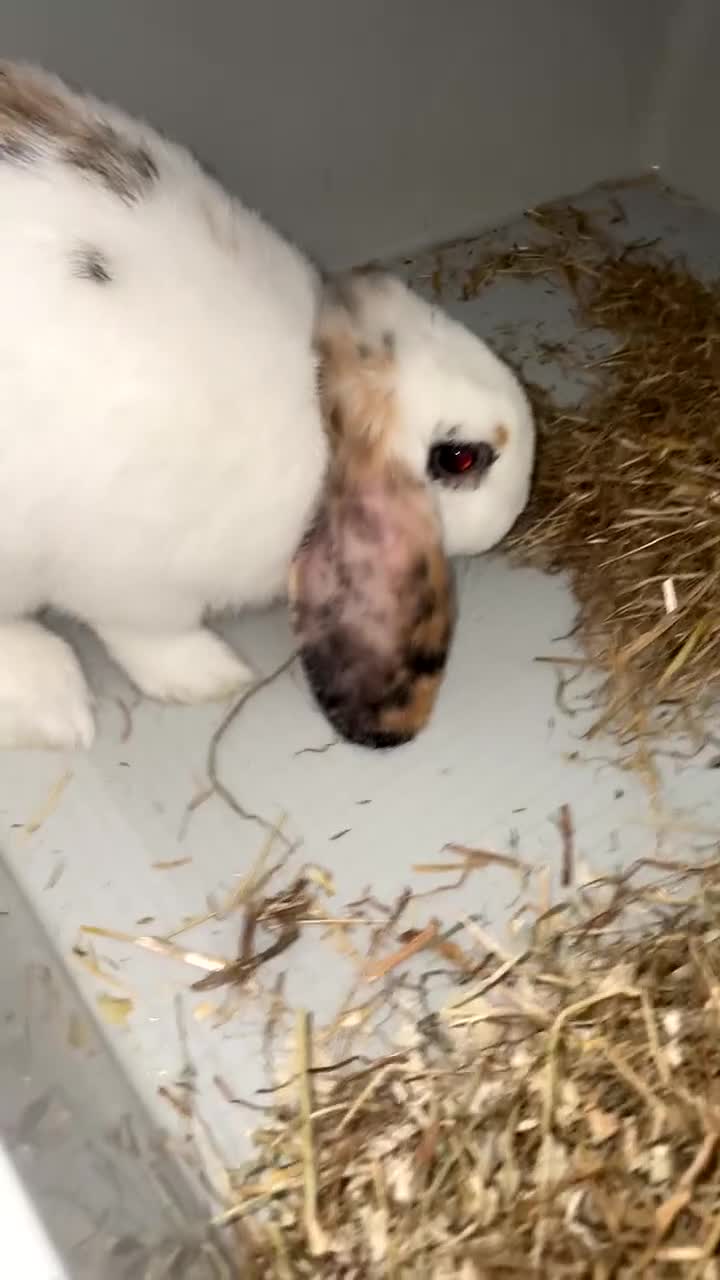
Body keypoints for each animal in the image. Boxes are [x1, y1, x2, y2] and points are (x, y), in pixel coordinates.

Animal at [0, 61, 535, 751]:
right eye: (461, 458)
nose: (512, 515)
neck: (321, 410)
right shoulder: (130, 580)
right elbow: (151, 635)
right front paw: (210, 675)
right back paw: (57, 706)